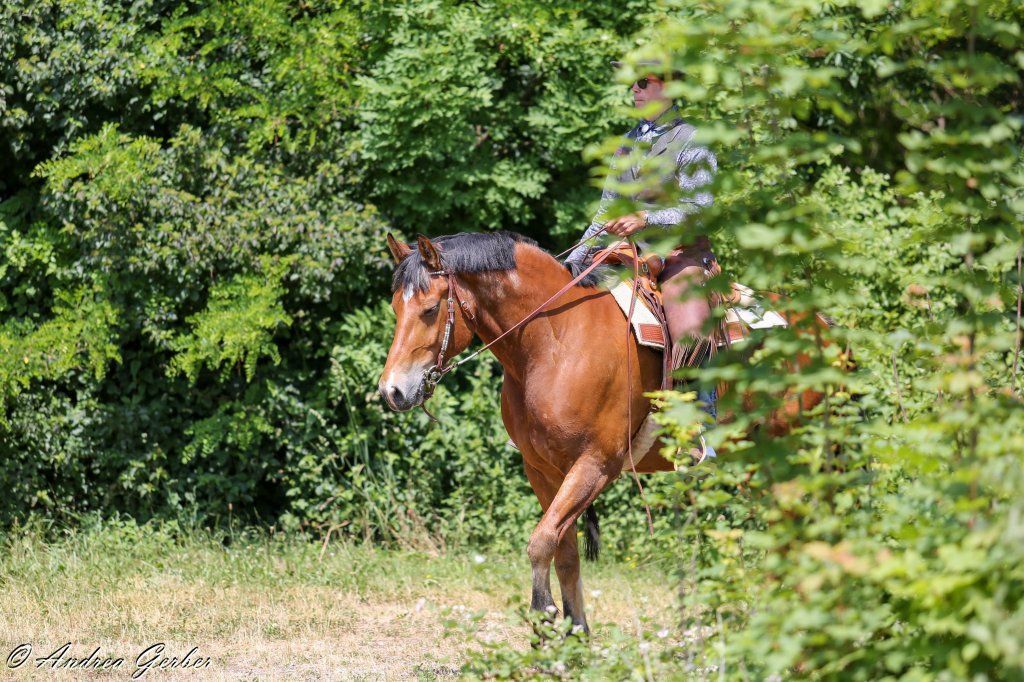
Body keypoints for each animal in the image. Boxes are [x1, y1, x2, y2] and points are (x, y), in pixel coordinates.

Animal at [377, 230, 836, 635]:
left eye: (430, 310)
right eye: (396, 309)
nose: (392, 391)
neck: (554, 342)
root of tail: (823, 325)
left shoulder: (596, 465)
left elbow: (541, 541)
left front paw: (544, 617)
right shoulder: (542, 470)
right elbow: (564, 551)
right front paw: (574, 635)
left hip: (789, 453)